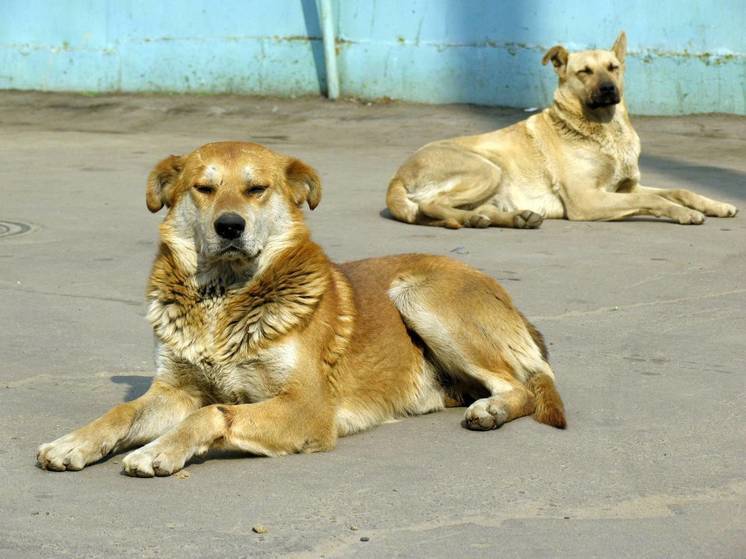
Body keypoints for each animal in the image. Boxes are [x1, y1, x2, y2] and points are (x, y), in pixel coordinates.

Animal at [36, 142, 564, 480]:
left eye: (257, 189)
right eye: (203, 188)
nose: (230, 226)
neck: (222, 297)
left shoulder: (305, 409)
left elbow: (213, 414)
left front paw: (160, 449)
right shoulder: (176, 390)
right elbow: (123, 411)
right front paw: (74, 442)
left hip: (418, 294)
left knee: (522, 385)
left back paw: (492, 409)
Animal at [386, 32, 736, 230]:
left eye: (613, 67)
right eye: (584, 72)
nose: (609, 89)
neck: (605, 130)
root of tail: (397, 176)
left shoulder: (627, 187)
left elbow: (679, 189)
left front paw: (716, 205)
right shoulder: (587, 199)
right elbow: (656, 199)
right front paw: (683, 213)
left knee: (464, 209)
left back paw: (508, 219)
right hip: (487, 169)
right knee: (431, 205)